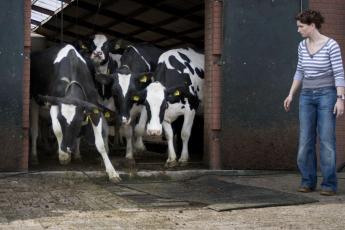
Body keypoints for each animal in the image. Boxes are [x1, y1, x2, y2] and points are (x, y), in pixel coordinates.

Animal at [29, 44, 121, 182]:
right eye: (61, 120)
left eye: (78, 122)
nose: (67, 147)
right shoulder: (54, 103)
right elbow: (57, 129)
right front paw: (63, 155)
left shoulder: (93, 107)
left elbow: (100, 144)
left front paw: (112, 172)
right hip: (33, 100)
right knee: (35, 130)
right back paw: (35, 156)